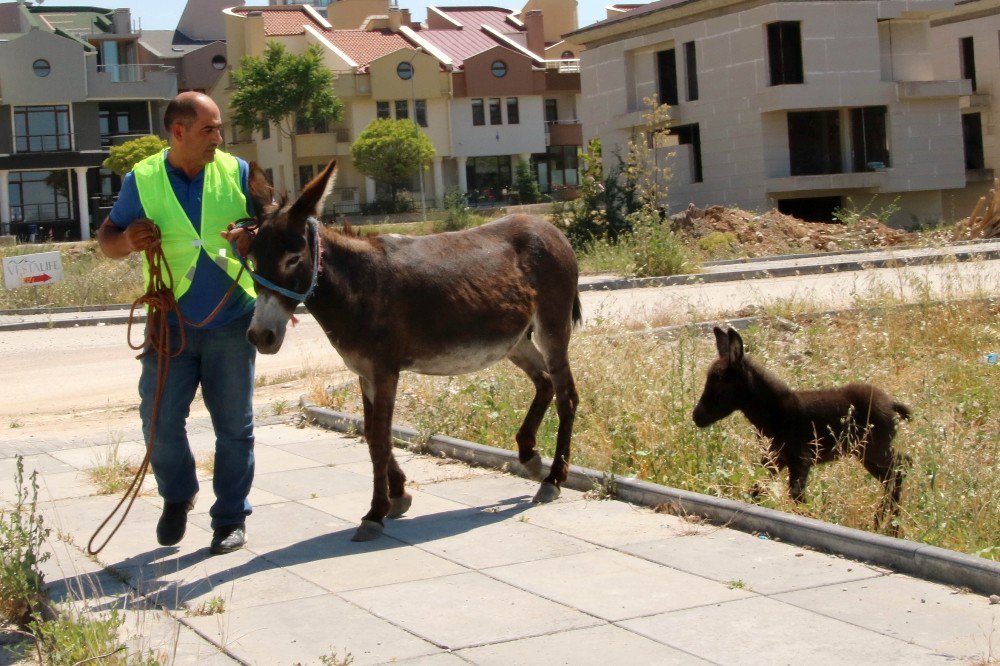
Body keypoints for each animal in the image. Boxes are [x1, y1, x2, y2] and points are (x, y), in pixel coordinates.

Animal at [692, 326, 912, 536]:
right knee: (896, 472)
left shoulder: (801, 460)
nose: (697, 416)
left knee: (898, 471)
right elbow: (757, 490)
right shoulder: (774, 459)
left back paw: (888, 526)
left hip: (874, 450)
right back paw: (885, 525)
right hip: (866, 452)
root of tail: (892, 404)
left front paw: (815, 520)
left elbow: (796, 497)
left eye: (721, 385)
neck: (774, 412)